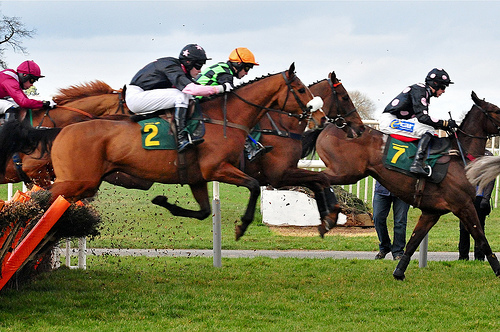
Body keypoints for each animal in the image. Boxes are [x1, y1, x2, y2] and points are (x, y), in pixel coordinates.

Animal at [300, 91, 500, 280]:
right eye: (497, 110)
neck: (460, 155)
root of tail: (330, 126)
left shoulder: (432, 212)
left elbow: (413, 242)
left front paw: (399, 272)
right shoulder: (463, 206)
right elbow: (482, 239)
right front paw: (498, 271)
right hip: (346, 171)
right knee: (318, 178)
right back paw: (327, 217)